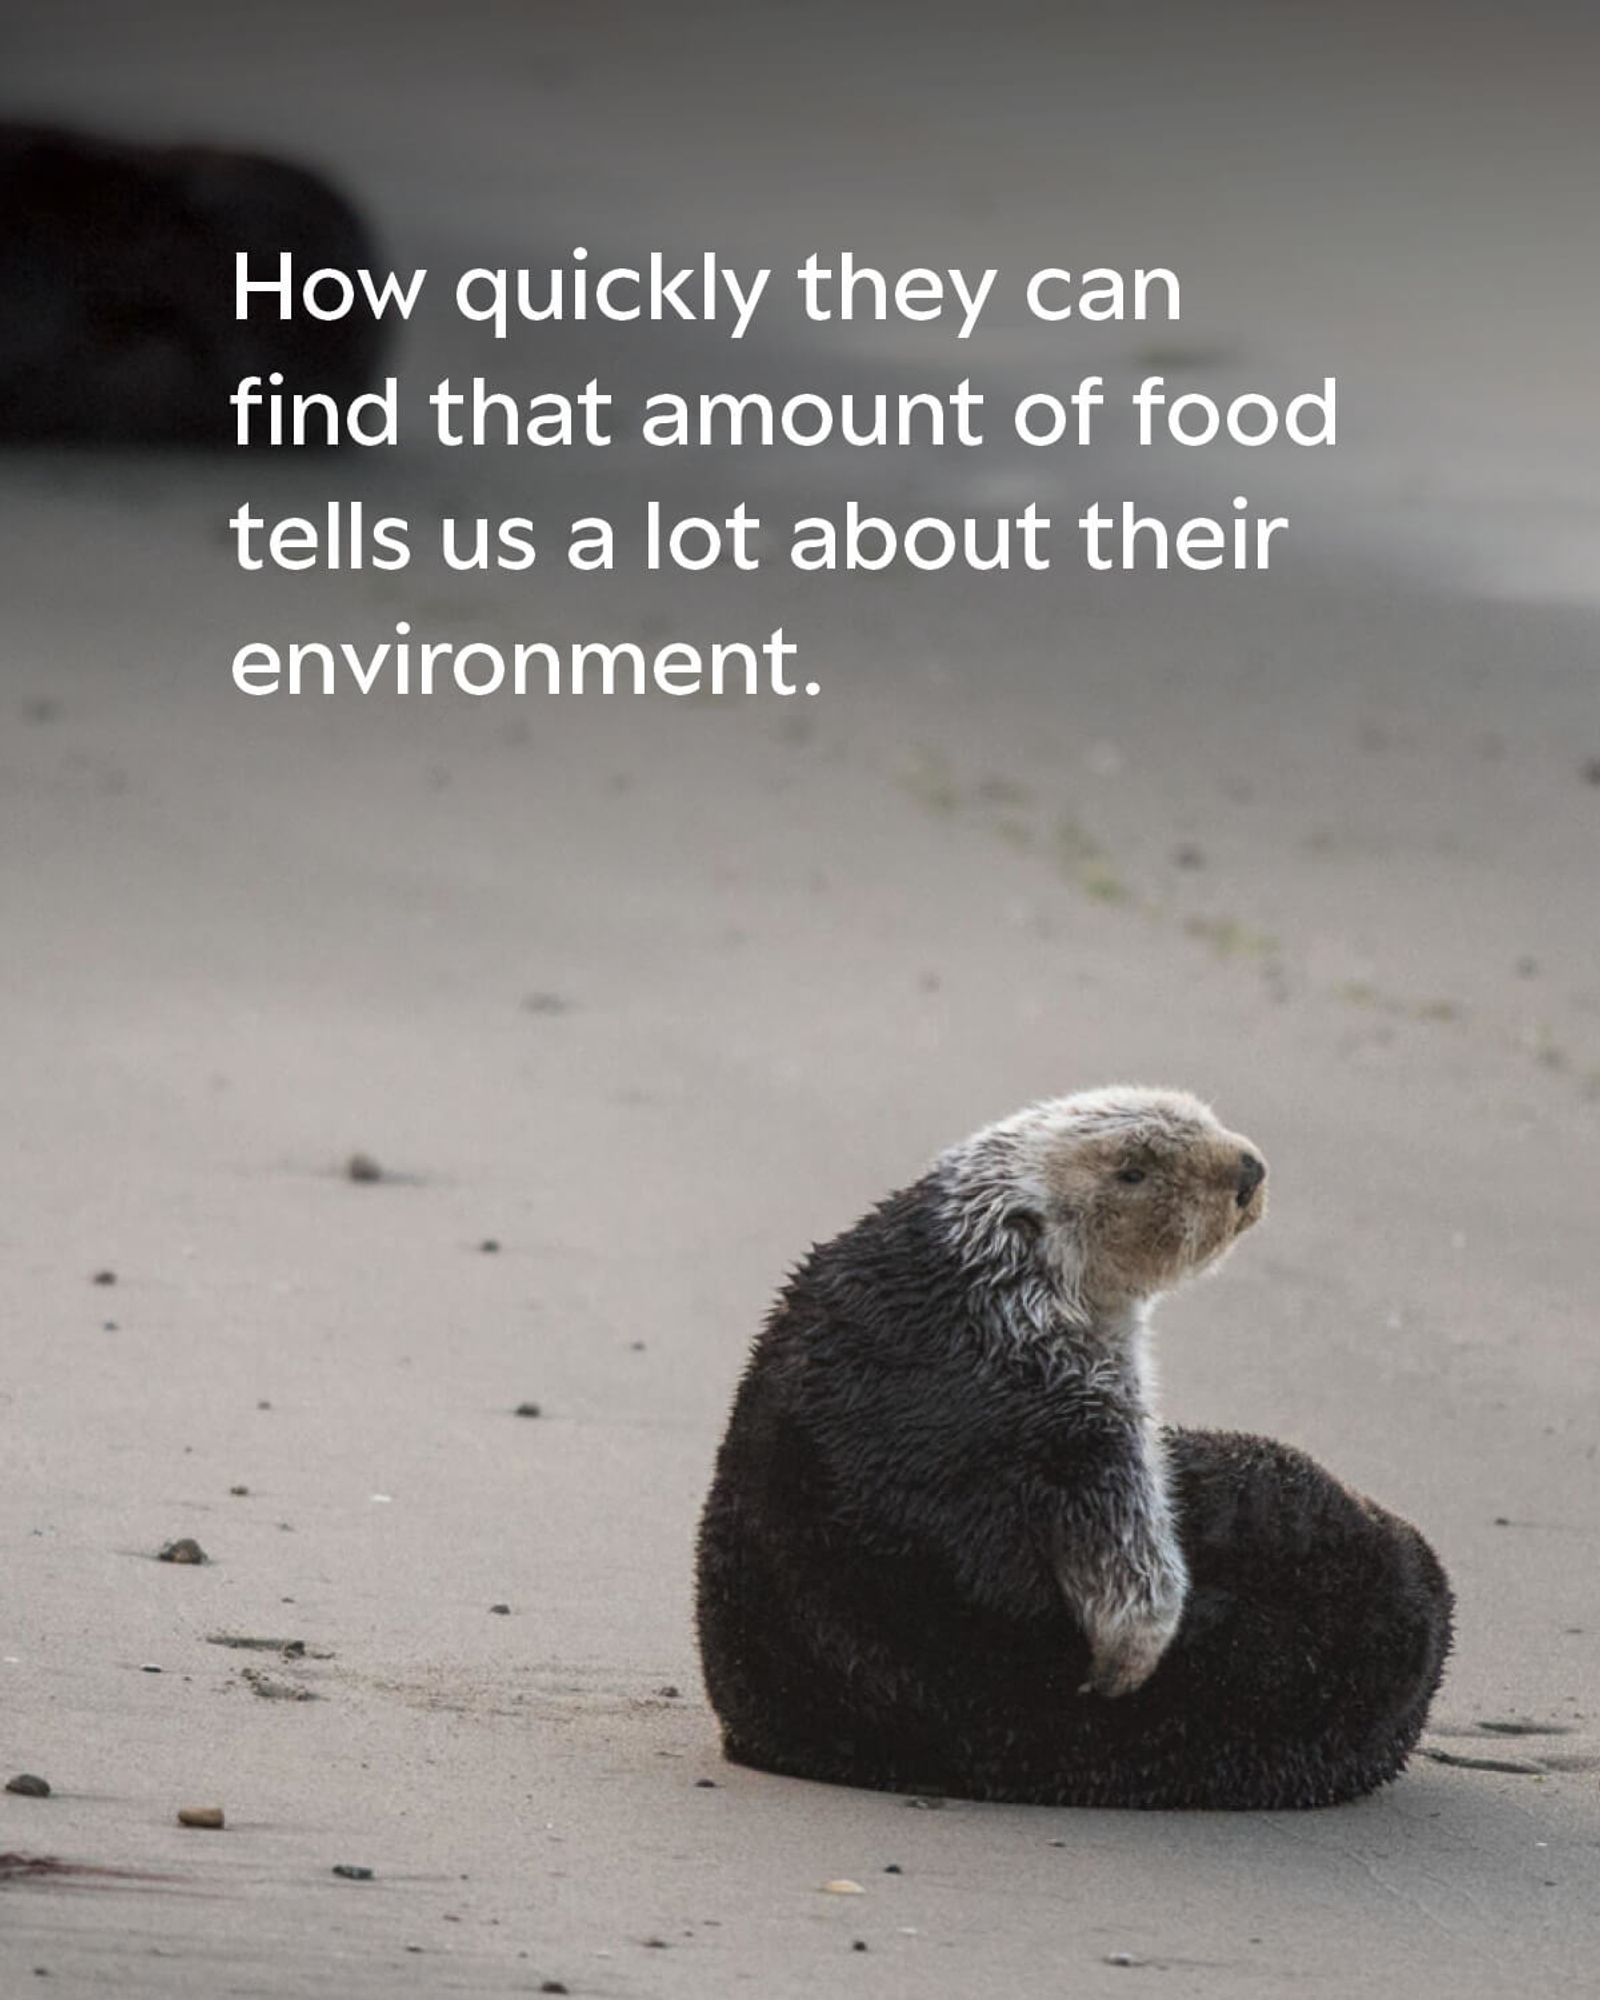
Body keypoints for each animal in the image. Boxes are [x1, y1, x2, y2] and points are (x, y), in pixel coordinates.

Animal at [696, 1096, 1448, 1816]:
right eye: (1132, 1172)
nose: (1248, 1170)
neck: (979, 1283)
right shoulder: (1073, 1397)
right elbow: (1125, 1552)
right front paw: (1128, 1659)